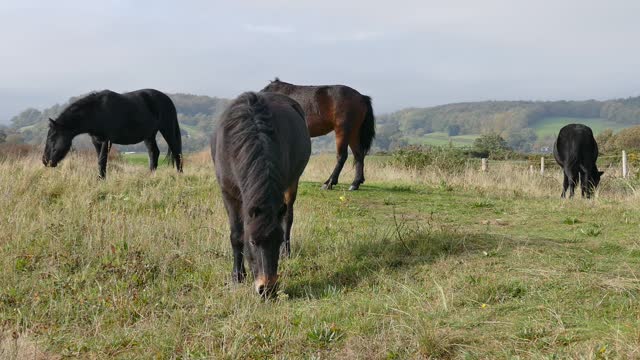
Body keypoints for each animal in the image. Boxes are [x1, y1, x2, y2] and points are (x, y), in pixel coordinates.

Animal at [42, 89, 184, 179]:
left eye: (52, 137)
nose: (45, 161)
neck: (96, 112)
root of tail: (168, 99)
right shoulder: (96, 141)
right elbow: (100, 160)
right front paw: (101, 178)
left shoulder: (106, 140)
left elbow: (102, 160)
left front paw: (101, 179)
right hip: (149, 135)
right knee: (154, 153)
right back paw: (150, 176)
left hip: (168, 130)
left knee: (177, 152)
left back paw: (179, 176)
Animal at [211, 90, 312, 296]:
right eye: (253, 242)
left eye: (277, 241)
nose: (267, 289)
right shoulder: (228, 194)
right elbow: (236, 235)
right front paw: (237, 276)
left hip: (292, 183)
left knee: (288, 216)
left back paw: (288, 253)